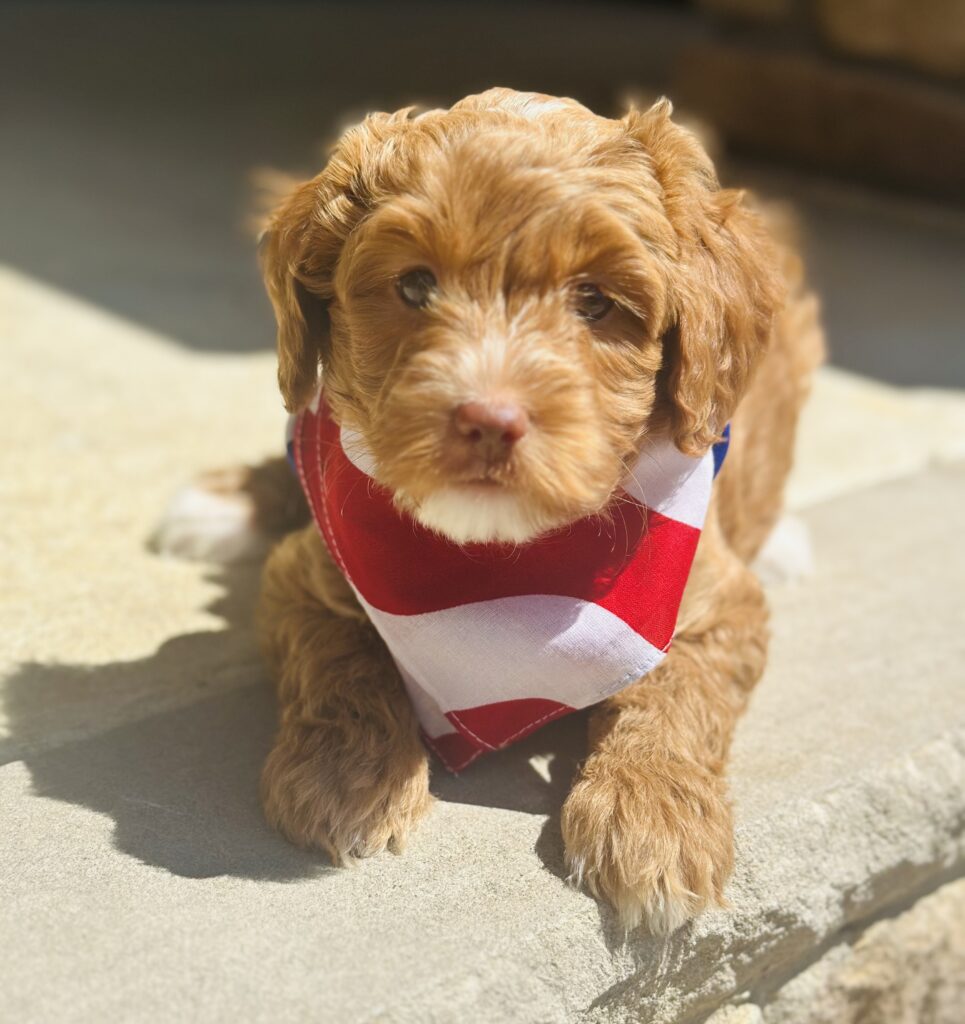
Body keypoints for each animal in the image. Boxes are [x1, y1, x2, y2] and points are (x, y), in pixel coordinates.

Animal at [163, 88, 823, 934]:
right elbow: (340, 658)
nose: (487, 419)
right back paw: (225, 504)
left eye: (595, 302)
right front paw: (347, 778)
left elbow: (678, 693)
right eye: (414, 287)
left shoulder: (718, 598)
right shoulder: (304, 575)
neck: (500, 563)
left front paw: (655, 819)